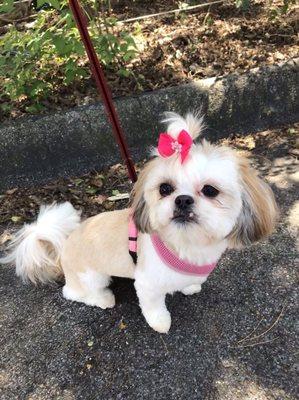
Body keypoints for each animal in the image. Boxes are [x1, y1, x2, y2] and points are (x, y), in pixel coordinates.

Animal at [1, 111, 280, 332]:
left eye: (210, 190)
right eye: (165, 188)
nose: (182, 200)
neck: (186, 245)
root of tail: (64, 244)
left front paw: (189, 287)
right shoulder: (147, 284)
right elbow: (154, 307)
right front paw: (161, 323)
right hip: (90, 276)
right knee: (75, 293)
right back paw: (102, 299)